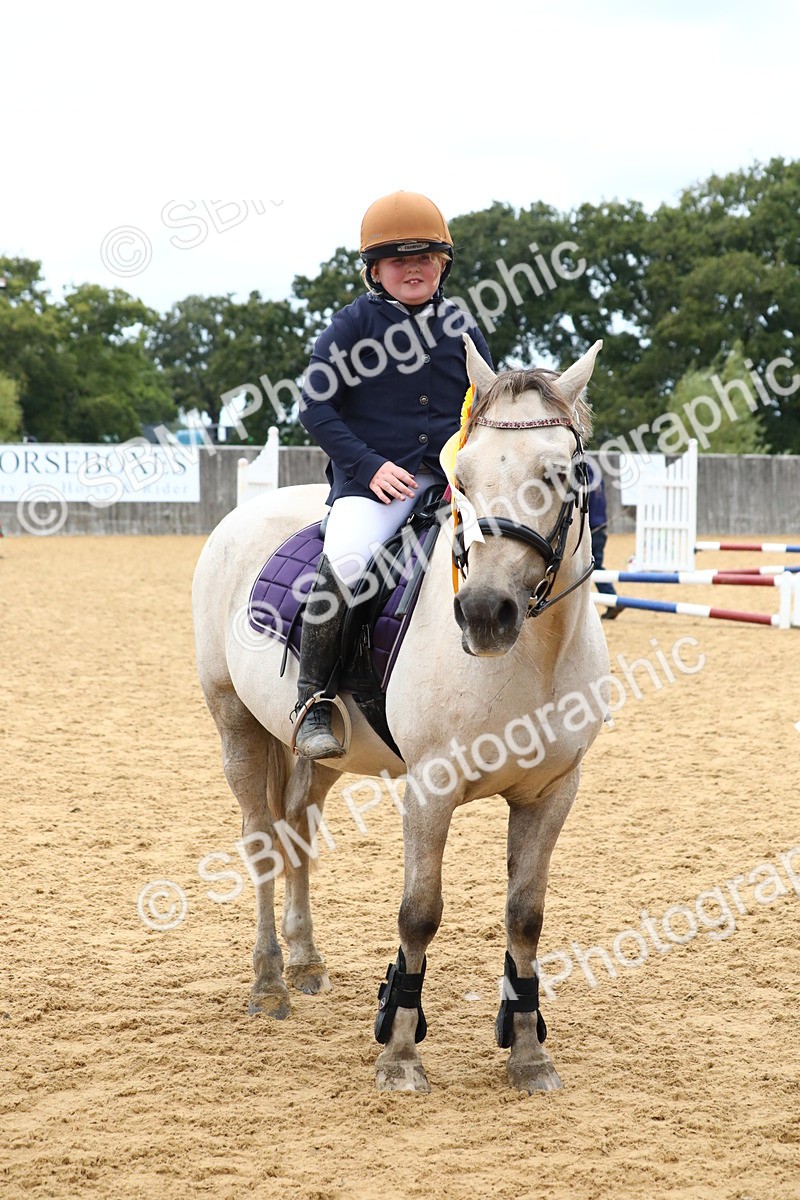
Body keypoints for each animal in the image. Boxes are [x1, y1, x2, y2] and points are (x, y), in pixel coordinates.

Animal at [192, 336, 610, 1094]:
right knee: (262, 839)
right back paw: (270, 984)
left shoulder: (552, 792)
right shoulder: (430, 789)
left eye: (562, 473)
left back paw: (305, 960)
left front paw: (528, 1054)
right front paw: (400, 1052)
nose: (484, 613)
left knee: (298, 827)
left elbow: (526, 917)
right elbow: (419, 914)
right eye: (462, 477)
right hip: (235, 724)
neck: (530, 657)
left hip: (322, 751)